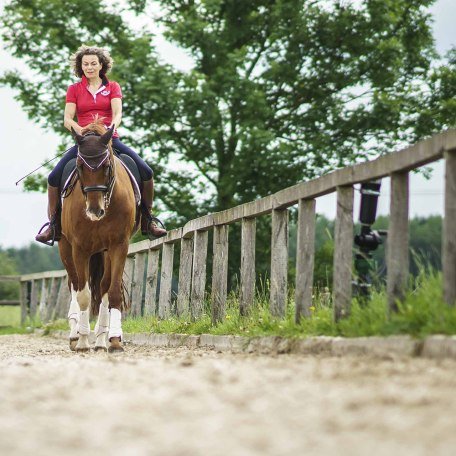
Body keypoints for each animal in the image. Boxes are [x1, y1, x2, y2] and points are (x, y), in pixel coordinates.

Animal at [59, 118, 137, 352]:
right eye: (79, 167)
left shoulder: (119, 245)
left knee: (102, 287)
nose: (95, 210)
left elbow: (112, 292)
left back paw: (102, 339)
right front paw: (84, 340)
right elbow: (83, 296)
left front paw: (114, 340)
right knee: (75, 284)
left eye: (107, 166)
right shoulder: (80, 248)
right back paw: (75, 334)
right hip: (65, 248)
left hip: (104, 251)